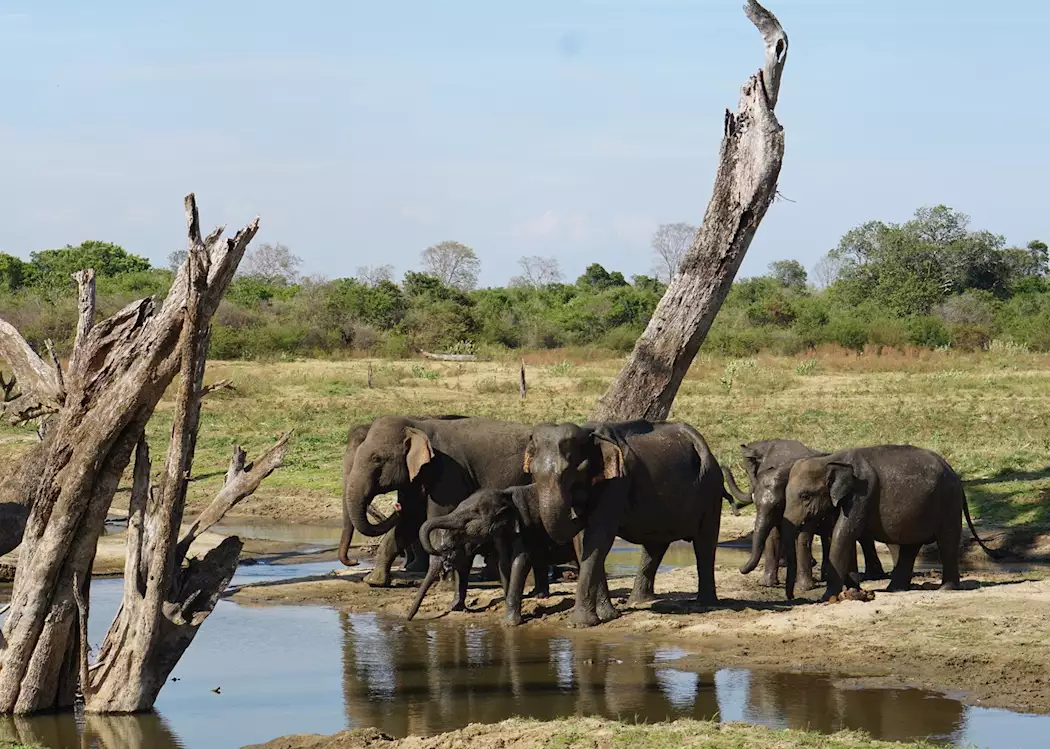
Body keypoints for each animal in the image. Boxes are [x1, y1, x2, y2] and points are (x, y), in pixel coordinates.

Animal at [342, 411, 529, 609]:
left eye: (377, 459)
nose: (354, 562)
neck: (416, 427)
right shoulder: (415, 479)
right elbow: (410, 521)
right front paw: (373, 581)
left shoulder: (448, 473)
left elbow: (438, 520)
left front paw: (444, 586)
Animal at [407, 481, 575, 621]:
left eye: (473, 514)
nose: (408, 620)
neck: (505, 494)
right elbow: (500, 562)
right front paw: (455, 608)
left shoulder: (526, 526)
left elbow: (520, 559)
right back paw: (538, 595)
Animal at [522, 420, 722, 626]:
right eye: (533, 473)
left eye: (571, 472)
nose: (580, 502)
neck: (590, 433)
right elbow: (584, 542)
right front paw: (608, 616)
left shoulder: (616, 483)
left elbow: (599, 536)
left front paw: (581, 623)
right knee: (655, 546)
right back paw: (639, 602)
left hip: (711, 489)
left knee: (705, 544)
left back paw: (705, 604)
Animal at [726, 439, 890, 588]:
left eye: (779, 504)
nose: (740, 568)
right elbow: (775, 533)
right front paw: (767, 584)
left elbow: (801, 533)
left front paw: (802, 586)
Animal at [785, 443, 995, 596]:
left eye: (805, 496)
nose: (794, 595)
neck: (829, 459)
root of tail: (955, 475)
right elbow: (845, 536)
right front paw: (853, 591)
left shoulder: (861, 495)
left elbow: (843, 534)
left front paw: (827, 597)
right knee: (911, 547)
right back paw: (895, 589)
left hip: (948, 503)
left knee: (947, 542)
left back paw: (945, 589)